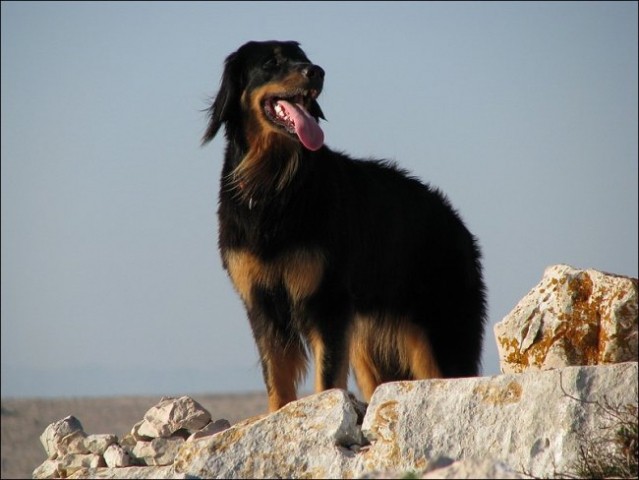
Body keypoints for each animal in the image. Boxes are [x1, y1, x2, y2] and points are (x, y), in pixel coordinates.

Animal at [202, 40, 488, 412]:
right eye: (271, 63)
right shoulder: (262, 304)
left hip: (443, 333)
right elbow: (276, 378)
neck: (274, 183)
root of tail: (458, 223)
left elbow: (326, 378)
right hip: (370, 349)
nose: (317, 71)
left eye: (303, 59)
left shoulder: (327, 301)